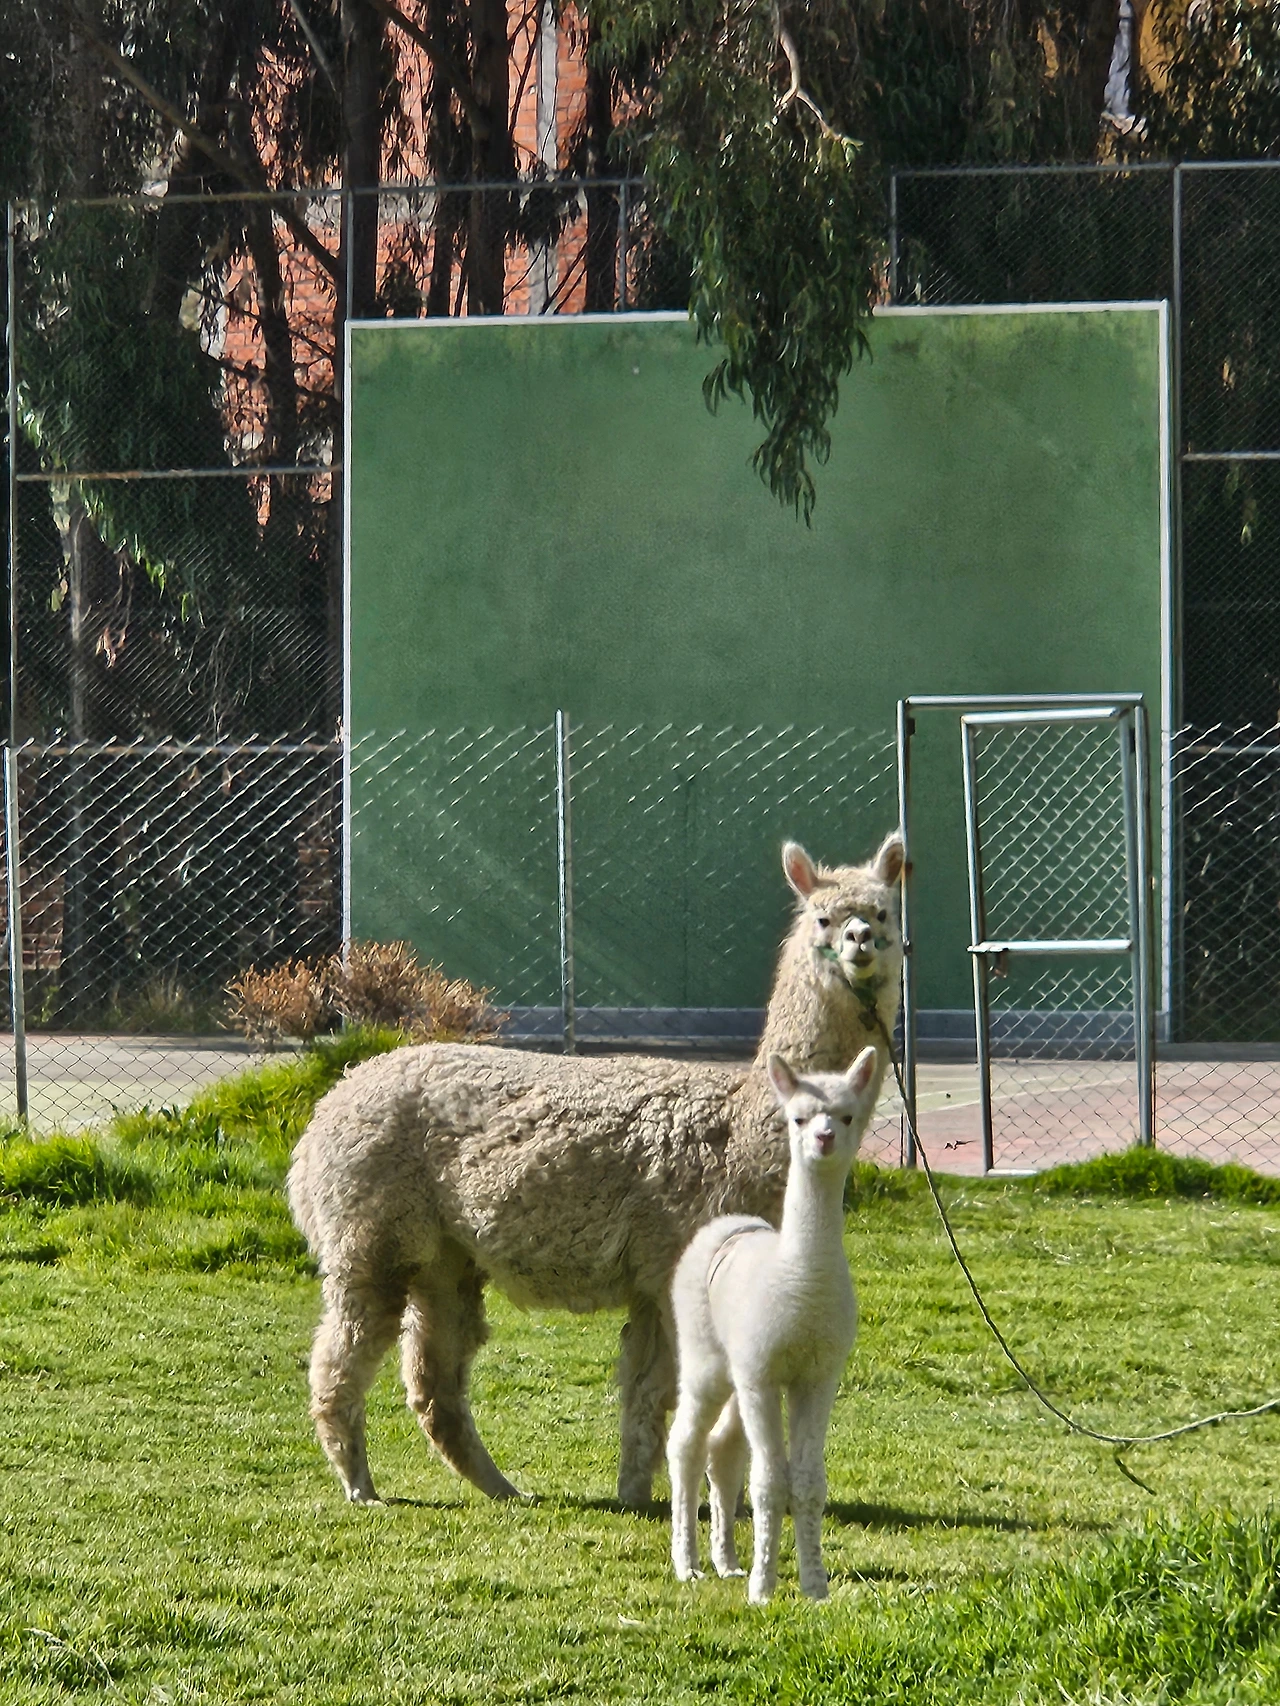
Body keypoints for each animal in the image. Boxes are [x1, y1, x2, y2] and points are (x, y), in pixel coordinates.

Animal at [286, 829, 904, 1509]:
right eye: (824, 918)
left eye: (884, 913)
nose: (860, 940)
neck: (741, 1131)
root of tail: (327, 1106)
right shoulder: (668, 1265)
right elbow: (661, 1390)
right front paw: (649, 1497)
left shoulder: (668, 1280)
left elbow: (660, 1391)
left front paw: (659, 1493)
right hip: (373, 1235)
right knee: (343, 1355)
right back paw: (361, 1485)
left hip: (445, 1259)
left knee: (434, 1382)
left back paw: (504, 1489)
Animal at [666, 1047, 880, 1604]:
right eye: (798, 1118)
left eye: (847, 1115)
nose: (823, 1138)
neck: (801, 1282)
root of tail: (725, 1225)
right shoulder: (763, 1372)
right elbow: (768, 1481)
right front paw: (763, 1590)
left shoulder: (816, 1375)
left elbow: (806, 1481)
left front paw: (814, 1586)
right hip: (706, 1356)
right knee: (686, 1443)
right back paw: (687, 1564)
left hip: (736, 1370)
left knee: (723, 1448)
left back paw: (726, 1562)